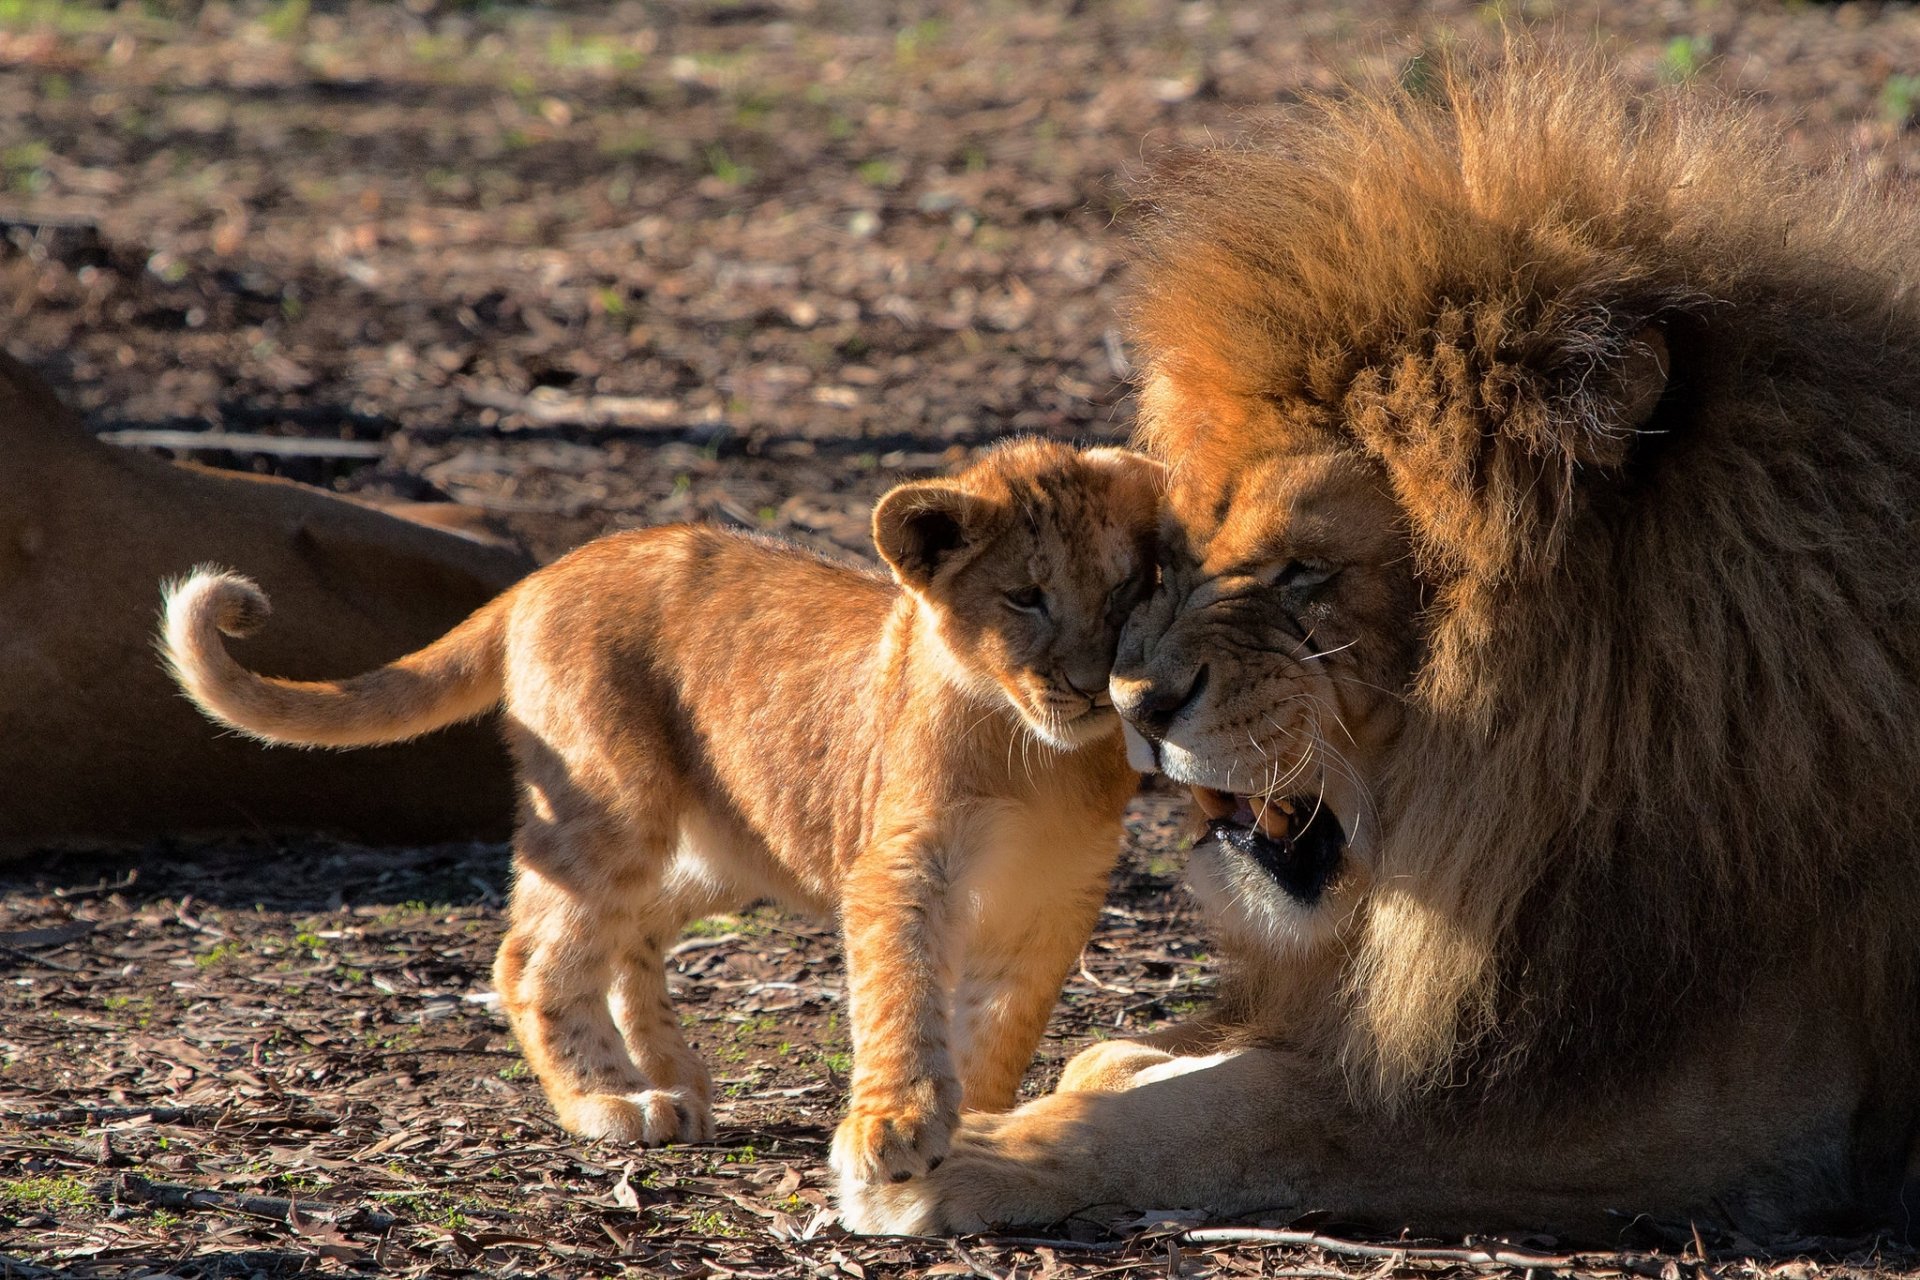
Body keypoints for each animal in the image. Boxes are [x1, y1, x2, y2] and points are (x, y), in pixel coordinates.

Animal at [160, 439, 1163, 1187]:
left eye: (1126, 593)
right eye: (1024, 597)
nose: (1089, 685)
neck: (1040, 758)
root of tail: (545, 574)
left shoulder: (1061, 894)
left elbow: (1002, 1021)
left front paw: (983, 1120)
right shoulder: (903, 864)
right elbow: (901, 995)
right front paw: (893, 1124)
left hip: (724, 845)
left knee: (631, 929)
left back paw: (670, 1072)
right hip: (609, 803)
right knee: (535, 956)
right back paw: (613, 1101)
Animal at [840, 56, 1920, 1241]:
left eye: (1304, 571)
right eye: (1176, 555)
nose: (1132, 702)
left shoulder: (1729, 1110)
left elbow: (1258, 1109)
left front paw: (965, 1156)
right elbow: (1160, 1055)